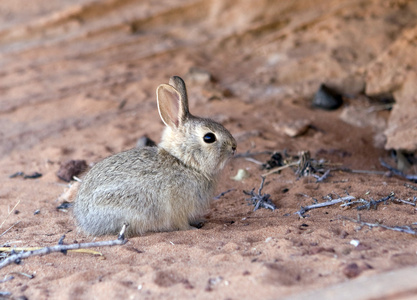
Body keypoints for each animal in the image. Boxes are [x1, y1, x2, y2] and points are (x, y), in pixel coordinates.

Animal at [73, 76, 236, 238]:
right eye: (209, 138)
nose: (234, 146)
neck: (184, 163)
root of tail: (85, 220)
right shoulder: (178, 209)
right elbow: (181, 224)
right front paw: (192, 229)